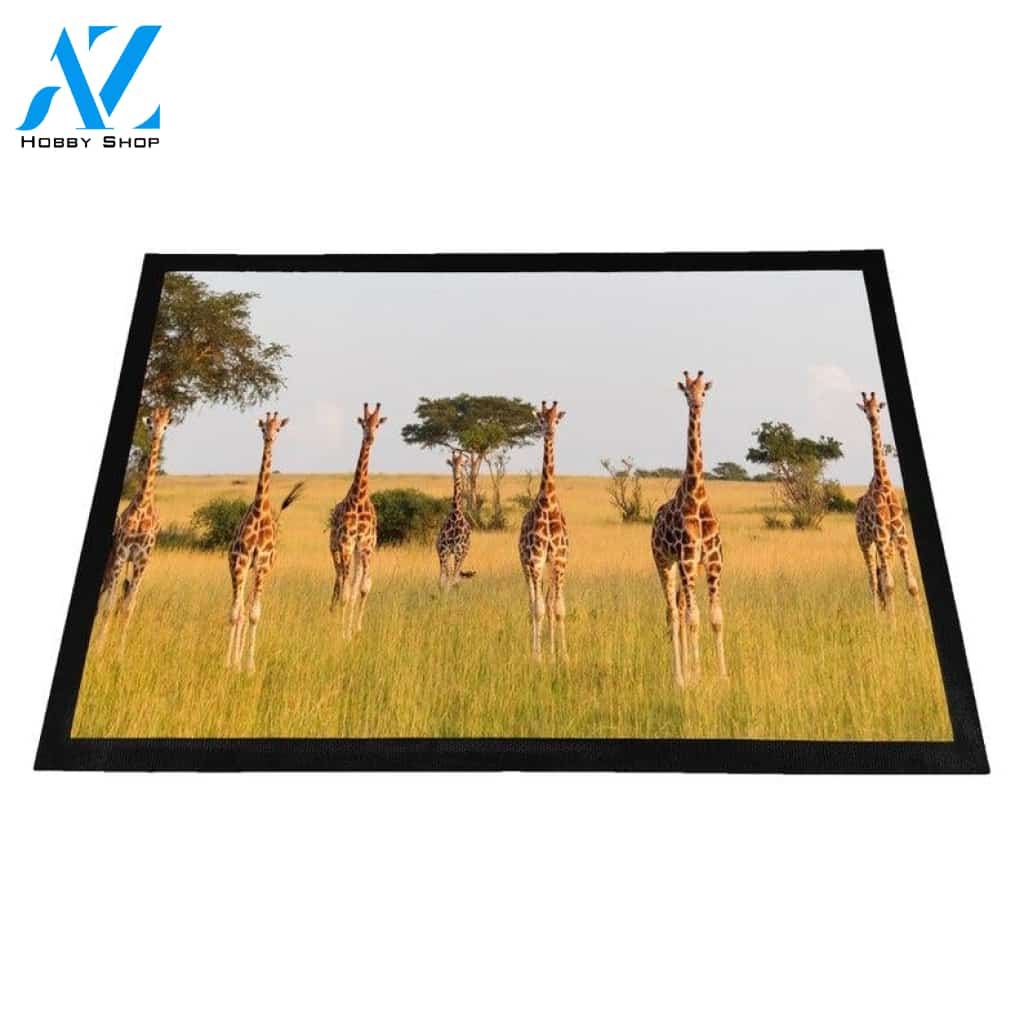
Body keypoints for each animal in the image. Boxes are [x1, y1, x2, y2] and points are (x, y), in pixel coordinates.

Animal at [96, 406, 172, 655]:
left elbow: (128, 608)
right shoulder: (121, 555)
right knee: (107, 598)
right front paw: (99, 651)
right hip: (113, 563)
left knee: (127, 599)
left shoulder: (141, 560)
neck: (142, 505)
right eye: (150, 423)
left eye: (166, 424)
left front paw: (119, 654)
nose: (156, 435)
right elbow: (109, 607)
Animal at [226, 412, 304, 672]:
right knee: (241, 606)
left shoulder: (260, 564)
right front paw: (228, 663)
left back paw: (242, 661)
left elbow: (254, 614)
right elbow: (236, 613)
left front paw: (249, 666)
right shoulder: (241, 561)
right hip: (241, 567)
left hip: (262, 570)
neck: (260, 511)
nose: (269, 438)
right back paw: (235, 660)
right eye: (262, 428)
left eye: (278, 428)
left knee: (250, 605)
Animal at [436, 449, 475, 591]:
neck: (455, 516)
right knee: (445, 573)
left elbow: (452, 577)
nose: (457, 476)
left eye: (462, 464)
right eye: (452, 464)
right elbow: (445, 578)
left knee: (456, 574)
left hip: (464, 553)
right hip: (444, 553)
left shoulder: (458, 551)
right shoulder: (444, 550)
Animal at [854, 391, 921, 613]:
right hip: (866, 542)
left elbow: (912, 585)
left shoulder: (900, 535)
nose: (872, 417)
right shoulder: (881, 536)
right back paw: (877, 615)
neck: (883, 483)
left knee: (882, 576)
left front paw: (921, 621)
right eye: (865, 409)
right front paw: (891, 622)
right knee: (873, 580)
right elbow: (889, 584)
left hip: (885, 546)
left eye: (878, 408)